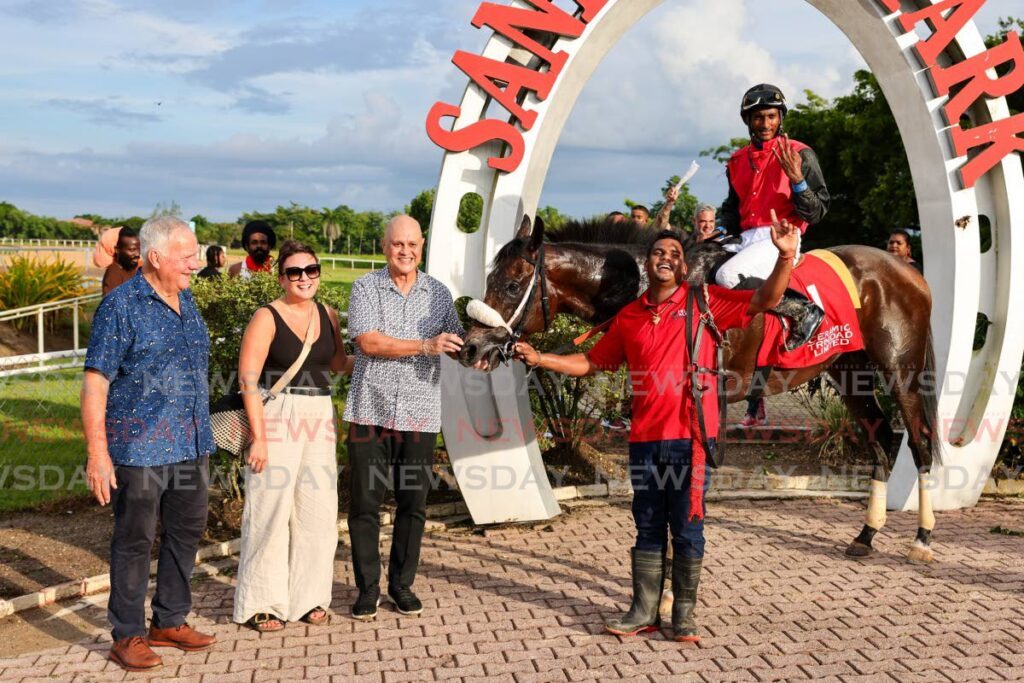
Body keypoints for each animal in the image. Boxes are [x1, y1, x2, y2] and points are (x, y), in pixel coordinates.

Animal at [460, 216, 937, 565]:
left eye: (511, 285)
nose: (471, 348)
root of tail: (906, 270)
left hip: (902, 371)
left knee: (918, 442)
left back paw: (922, 538)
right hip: (848, 371)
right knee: (881, 440)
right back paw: (866, 534)